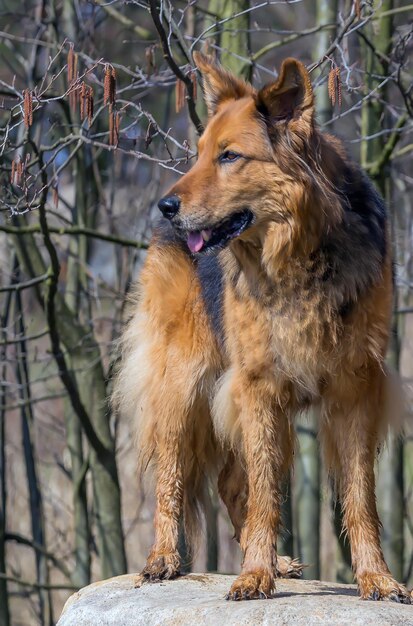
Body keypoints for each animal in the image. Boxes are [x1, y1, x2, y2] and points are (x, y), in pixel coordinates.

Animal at [113, 53, 408, 600]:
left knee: (232, 482)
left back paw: (274, 558)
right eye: (200, 154)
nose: (165, 205)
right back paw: (163, 557)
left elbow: (360, 496)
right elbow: (266, 490)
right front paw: (254, 572)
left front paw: (375, 576)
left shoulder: (355, 389)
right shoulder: (259, 385)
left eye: (229, 156)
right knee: (172, 475)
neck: (297, 254)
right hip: (183, 383)